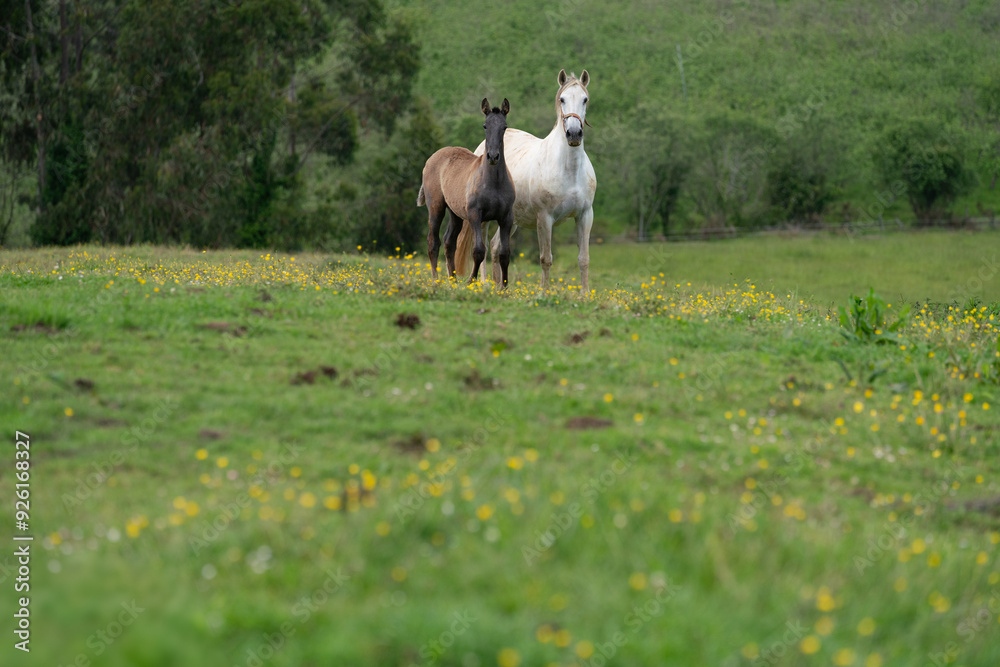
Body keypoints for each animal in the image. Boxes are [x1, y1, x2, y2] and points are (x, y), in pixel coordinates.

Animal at [416, 98, 516, 287]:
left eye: (504, 127)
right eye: (485, 126)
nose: (493, 156)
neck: (493, 182)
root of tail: (432, 158)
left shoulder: (506, 218)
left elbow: (505, 253)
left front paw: (504, 286)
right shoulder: (475, 215)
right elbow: (478, 250)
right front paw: (471, 281)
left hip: (455, 213)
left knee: (449, 242)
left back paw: (453, 280)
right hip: (436, 208)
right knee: (433, 242)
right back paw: (436, 280)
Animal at [455, 69, 596, 293]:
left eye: (585, 99)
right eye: (562, 99)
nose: (574, 134)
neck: (569, 171)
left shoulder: (585, 216)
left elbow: (583, 259)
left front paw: (585, 295)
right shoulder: (544, 218)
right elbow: (546, 259)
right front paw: (544, 293)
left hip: (511, 220)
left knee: (495, 247)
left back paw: (499, 286)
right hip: (484, 218)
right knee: (484, 247)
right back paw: (484, 284)